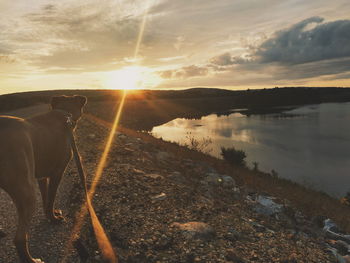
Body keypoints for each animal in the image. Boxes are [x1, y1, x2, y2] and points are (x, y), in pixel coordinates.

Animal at [0, 96, 87, 262]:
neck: (63, 112)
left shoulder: (42, 177)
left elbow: (46, 198)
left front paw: (49, 215)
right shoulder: (57, 173)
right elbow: (51, 198)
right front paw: (53, 218)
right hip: (27, 193)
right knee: (19, 239)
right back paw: (32, 260)